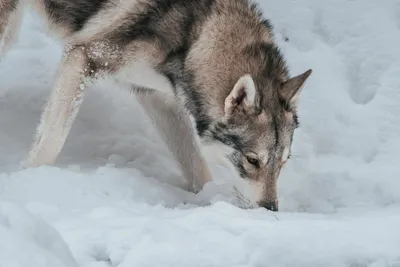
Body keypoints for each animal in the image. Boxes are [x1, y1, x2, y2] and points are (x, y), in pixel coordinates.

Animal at [0, 0, 312, 211]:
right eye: (252, 160)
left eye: (283, 162)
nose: (270, 210)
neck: (195, 34)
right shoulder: (81, 59)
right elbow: (50, 143)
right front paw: (30, 183)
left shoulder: (157, 97)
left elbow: (198, 170)